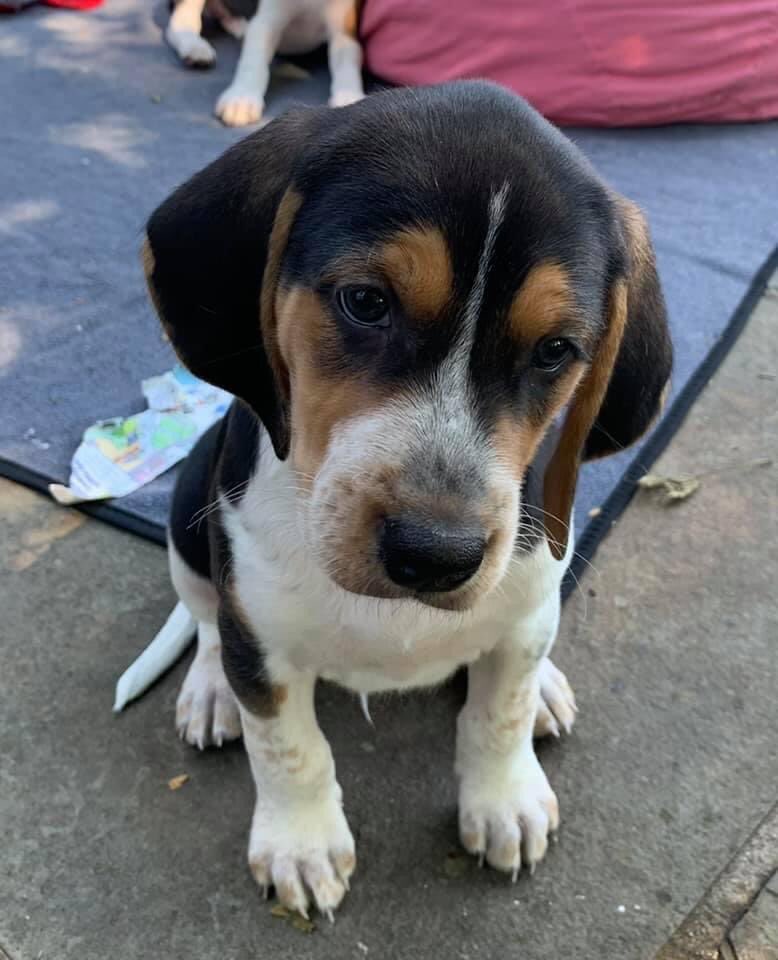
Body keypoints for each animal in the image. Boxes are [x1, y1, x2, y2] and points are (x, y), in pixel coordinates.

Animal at [142, 80, 668, 916]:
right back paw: (211, 690)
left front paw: (504, 798)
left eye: (556, 350)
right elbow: (289, 748)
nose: (437, 555)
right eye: (364, 301)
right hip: (190, 514)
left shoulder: (524, 597)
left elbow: (499, 711)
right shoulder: (262, 642)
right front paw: (299, 845)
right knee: (203, 620)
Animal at [164, 0, 364, 127]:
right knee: (182, 20)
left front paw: (349, 95)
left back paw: (236, 23)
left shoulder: (344, 29)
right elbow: (255, 61)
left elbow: (346, 63)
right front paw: (242, 98)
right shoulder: (265, 22)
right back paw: (194, 46)